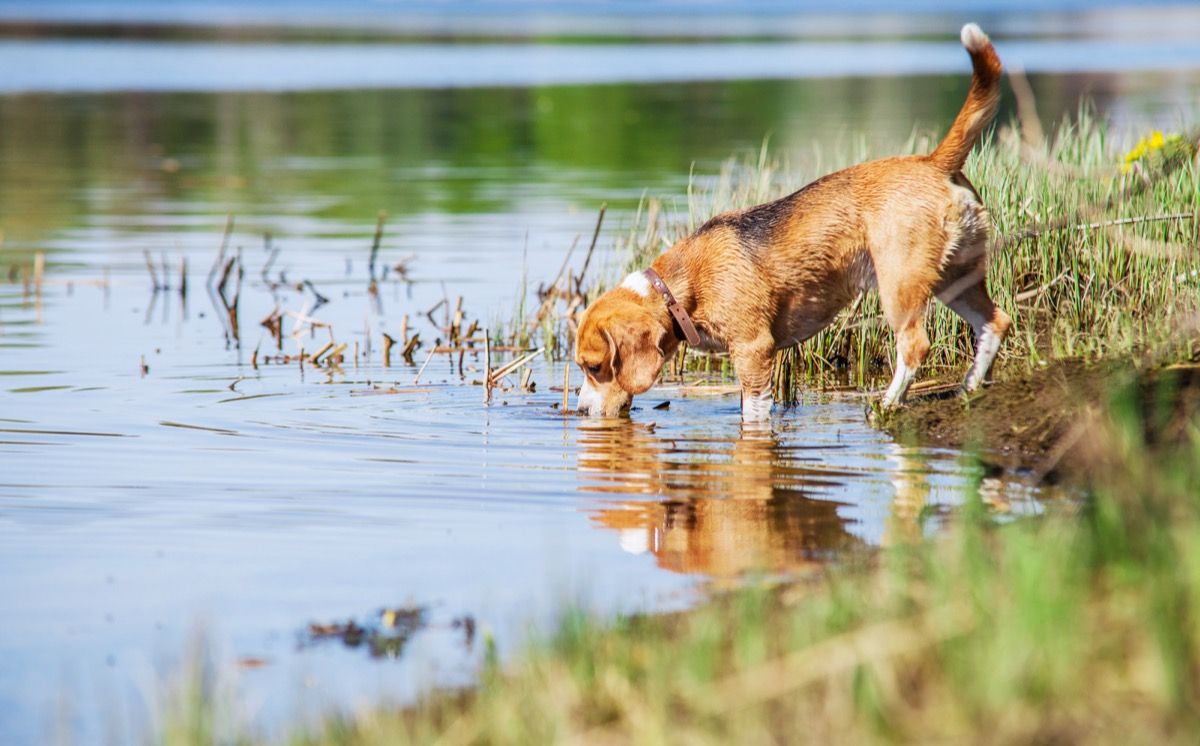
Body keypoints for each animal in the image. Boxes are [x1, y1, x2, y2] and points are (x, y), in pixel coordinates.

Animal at [576, 21, 1008, 422]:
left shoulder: (753, 350)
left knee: (915, 346)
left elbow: (753, 411)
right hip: (955, 276)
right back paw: (969, 387)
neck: (677, 293)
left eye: (595, 367)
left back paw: (886, 404)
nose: (579, 411)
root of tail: (933, 162)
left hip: (900, 285)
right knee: (995, 322)